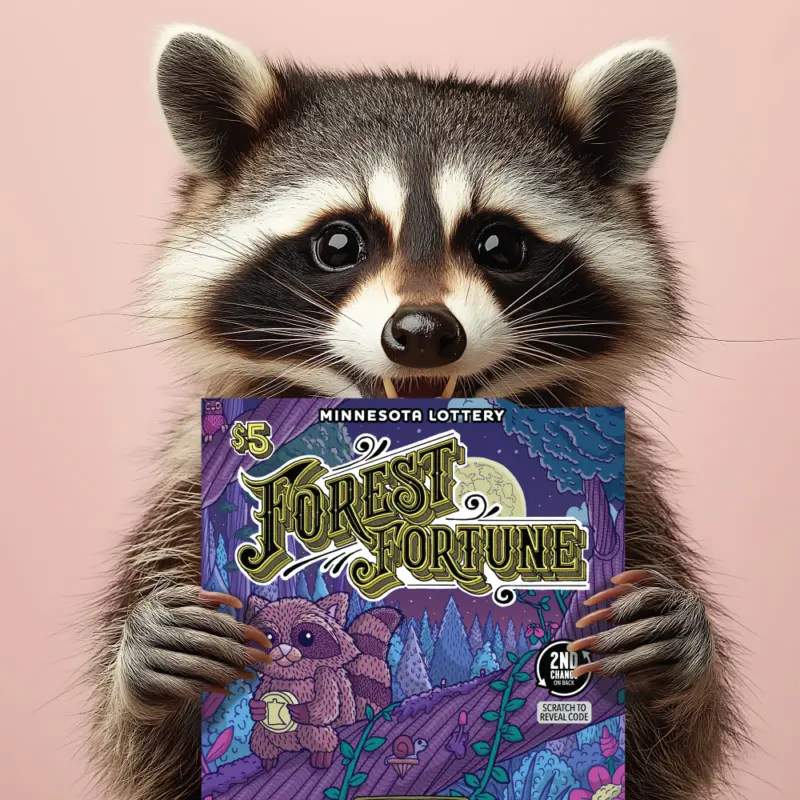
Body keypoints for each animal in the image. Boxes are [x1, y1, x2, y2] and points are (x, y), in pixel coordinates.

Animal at [85, 24, 743, 800]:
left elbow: (677, 754)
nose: (423, 332)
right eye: (339, 242)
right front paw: (142, 669)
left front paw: (684, 662)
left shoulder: (633, 486)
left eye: (500, 243)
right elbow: (144, 755)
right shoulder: (188, 478)